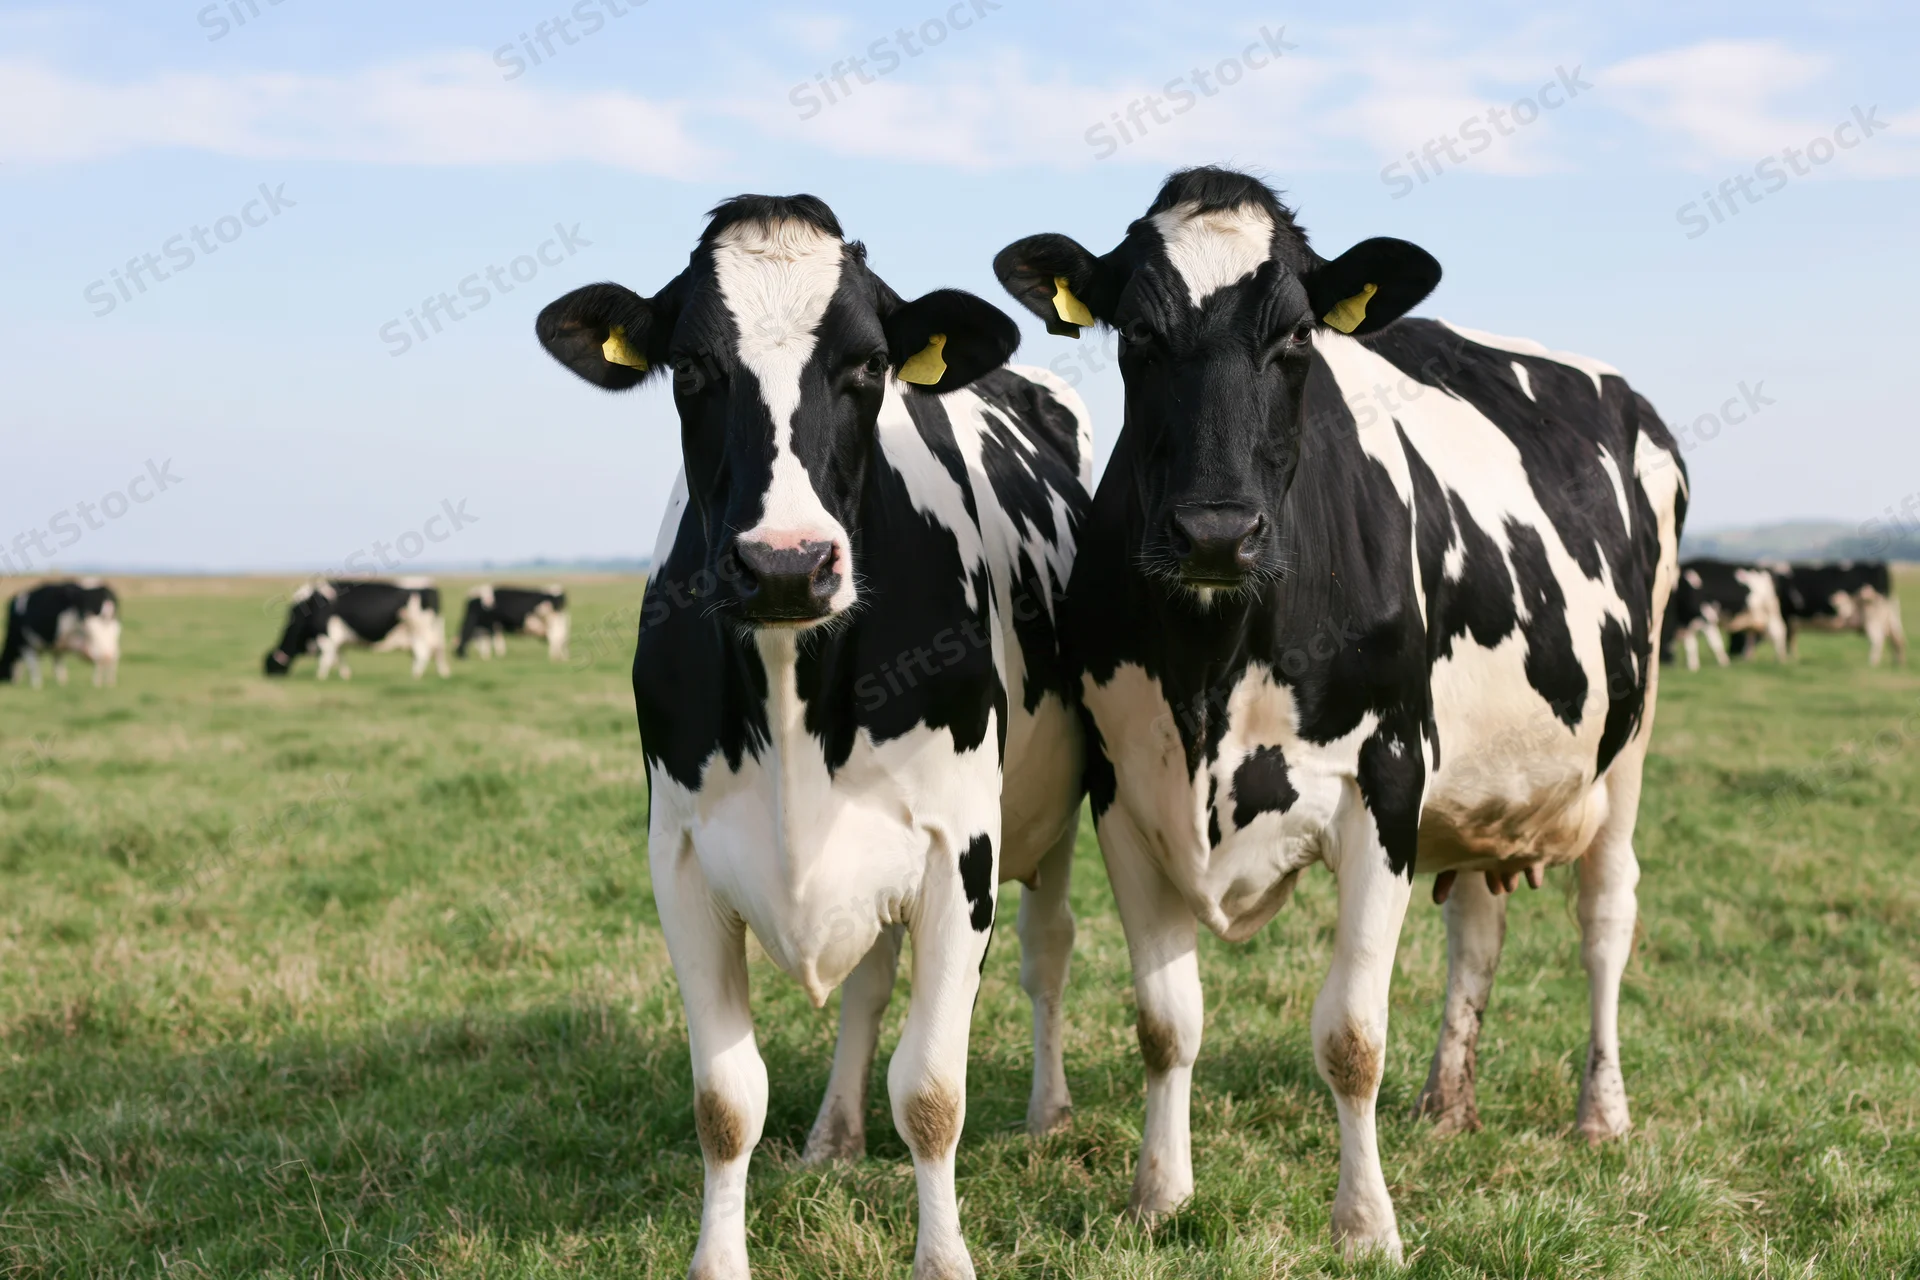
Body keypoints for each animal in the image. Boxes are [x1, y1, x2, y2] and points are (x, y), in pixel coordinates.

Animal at [263, 578, 452, 679]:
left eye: (269, 666)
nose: (268, 677)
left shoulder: (326, 636)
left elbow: (326, 658)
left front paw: (320, 677)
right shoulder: (337, 639)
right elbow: (339, 656)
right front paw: (345, 675)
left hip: (419, 631)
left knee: (423, 653)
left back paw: (415, 676)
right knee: (435, 651)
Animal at [534, 194, 1091, 1280]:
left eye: (868, 365)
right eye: (692, 367)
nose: (787, 563)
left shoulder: (959, 851)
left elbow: (932, 1091)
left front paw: (943, 1259)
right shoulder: (681, 856)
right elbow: (725, 1099)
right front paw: (719, 1258)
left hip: (1056, 817)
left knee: (1047, 951)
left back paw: (1049, 1112)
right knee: (869, 981)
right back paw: (834, 1134)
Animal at [993, 166, 1687, 1259]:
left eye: (1295, 337)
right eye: (1138, 332)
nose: (1216, 530)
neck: (1213, 662)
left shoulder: (1387, 783)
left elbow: (1352, 1035)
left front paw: (1366, 1226)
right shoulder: (1126, 793)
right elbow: (1166, 1022)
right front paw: (1160, 1196)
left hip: (1630, 740)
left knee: (1606, 915)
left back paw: (1601, 1113)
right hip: (1480, 787)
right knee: (1477, 928)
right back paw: (1448, 1103)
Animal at [1772, 560, 1907, 666]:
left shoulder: (1786, 617)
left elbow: (1786, 640)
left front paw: (1787, 660)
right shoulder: (1792, 622)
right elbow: (1792, 641)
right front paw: (1793, 660)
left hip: (1873, 617)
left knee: (1877, 640)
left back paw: (1872, 663)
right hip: (1890, 615)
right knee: (1896, 639)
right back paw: (1896, 663)